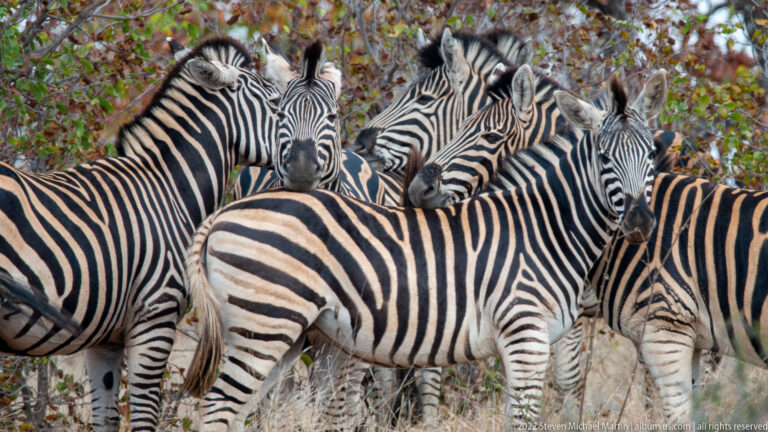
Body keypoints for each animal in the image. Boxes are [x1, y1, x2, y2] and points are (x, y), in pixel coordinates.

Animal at [0, 37, 283, 431]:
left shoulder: (104, 337)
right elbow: (145, 414)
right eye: (276, 103)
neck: (170, 188)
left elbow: (105, 416)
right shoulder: (155, 315)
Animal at [180, 71, 666, 430]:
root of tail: (221, 215)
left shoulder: (524, 342)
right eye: (604, 157)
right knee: (219, 408)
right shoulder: (525, 334)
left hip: (279, 333)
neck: (547, 226)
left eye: (652, 156)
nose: (641, 223)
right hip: (264, 325)